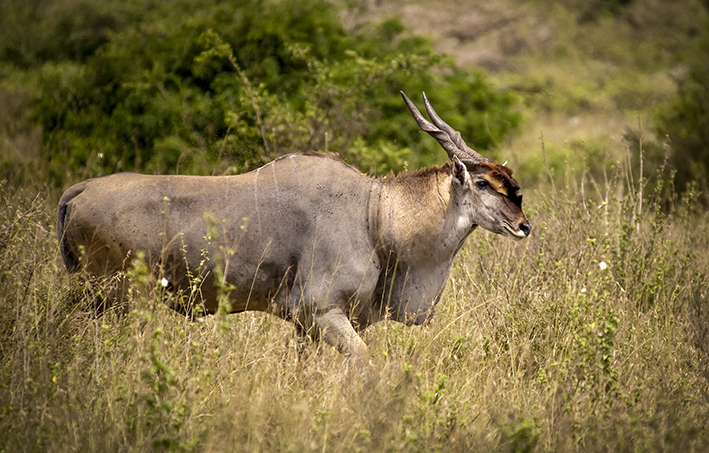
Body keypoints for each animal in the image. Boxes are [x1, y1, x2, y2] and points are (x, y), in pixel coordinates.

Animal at [57, 92, 531, 358]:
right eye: (484, 182)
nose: (525, 226)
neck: (374, 213)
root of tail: (79, 191)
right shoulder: (323, 314)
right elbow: (368, 363)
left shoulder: (308, 325)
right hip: (115, 298)